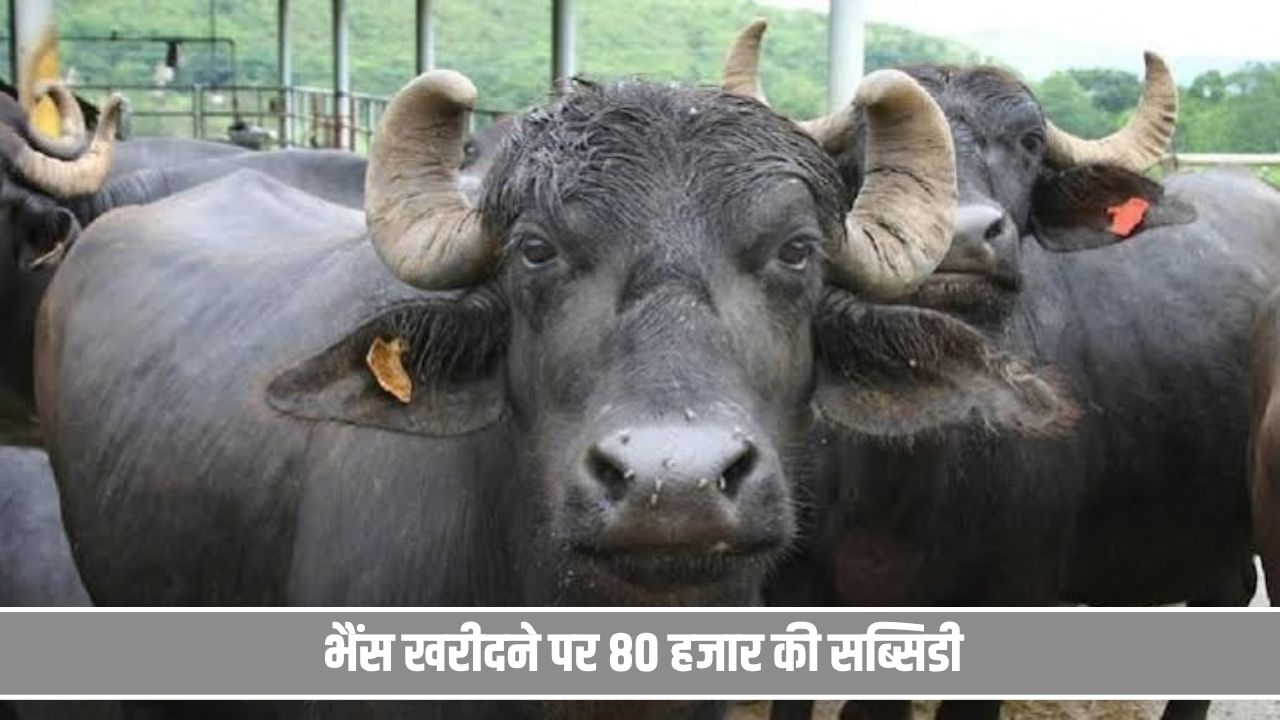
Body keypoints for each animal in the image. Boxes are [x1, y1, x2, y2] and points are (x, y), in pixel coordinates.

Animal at [727, 20, 1280, 720]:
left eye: (1030, 142)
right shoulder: (802, 593)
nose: (962, 238)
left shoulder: (1011, 590)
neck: (906, 468)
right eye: (865, 146)